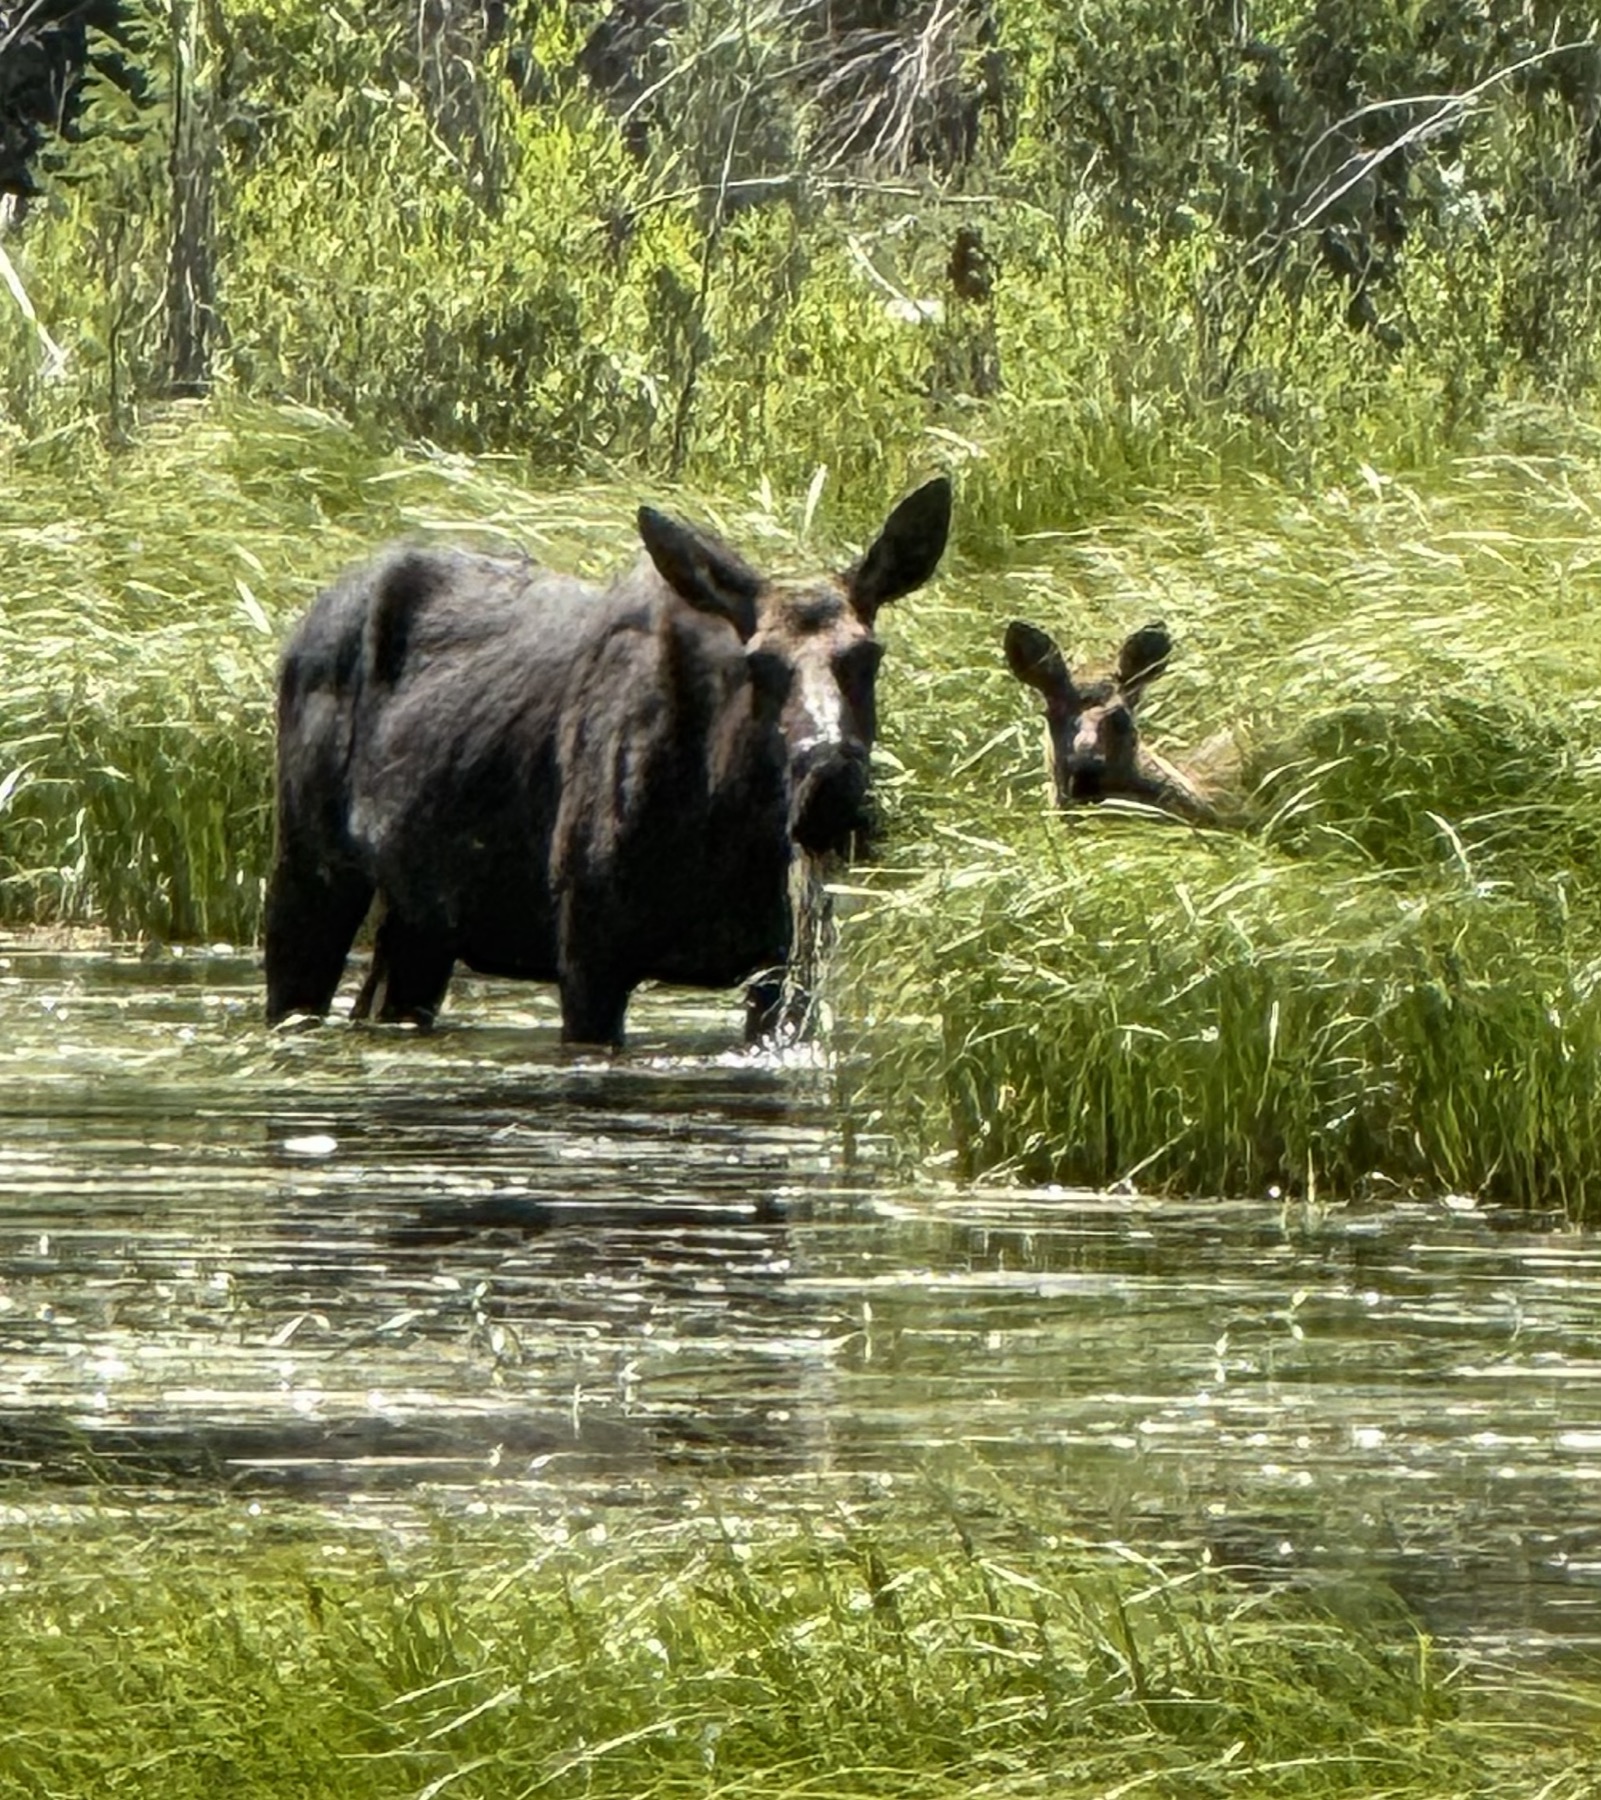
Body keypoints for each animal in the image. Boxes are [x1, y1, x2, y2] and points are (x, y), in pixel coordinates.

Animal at [264, 479, 952, 1046]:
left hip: (422, 919)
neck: (728, 828)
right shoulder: (589, 955)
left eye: (868, 656)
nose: (830, 788)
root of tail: (299, 629)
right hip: (311, 867)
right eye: (757, 662)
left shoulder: (780, 972)